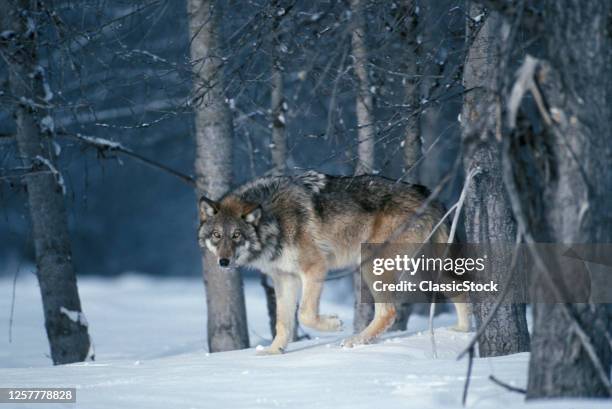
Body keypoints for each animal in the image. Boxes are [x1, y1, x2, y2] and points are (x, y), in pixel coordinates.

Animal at [198, 171, 470, 352]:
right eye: (217, 235)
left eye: (236, 236)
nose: (223, 262)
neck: (273, 220)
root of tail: (427, 193)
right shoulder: (284, 278)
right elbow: (283, 323)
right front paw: (273, 352)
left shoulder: (315, 268)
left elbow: (305, 314)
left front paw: (334, 324)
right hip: (423, 268)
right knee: (458, 289)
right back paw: (462, 330)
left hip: (374, 266)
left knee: (389, 311)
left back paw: (355, 341)